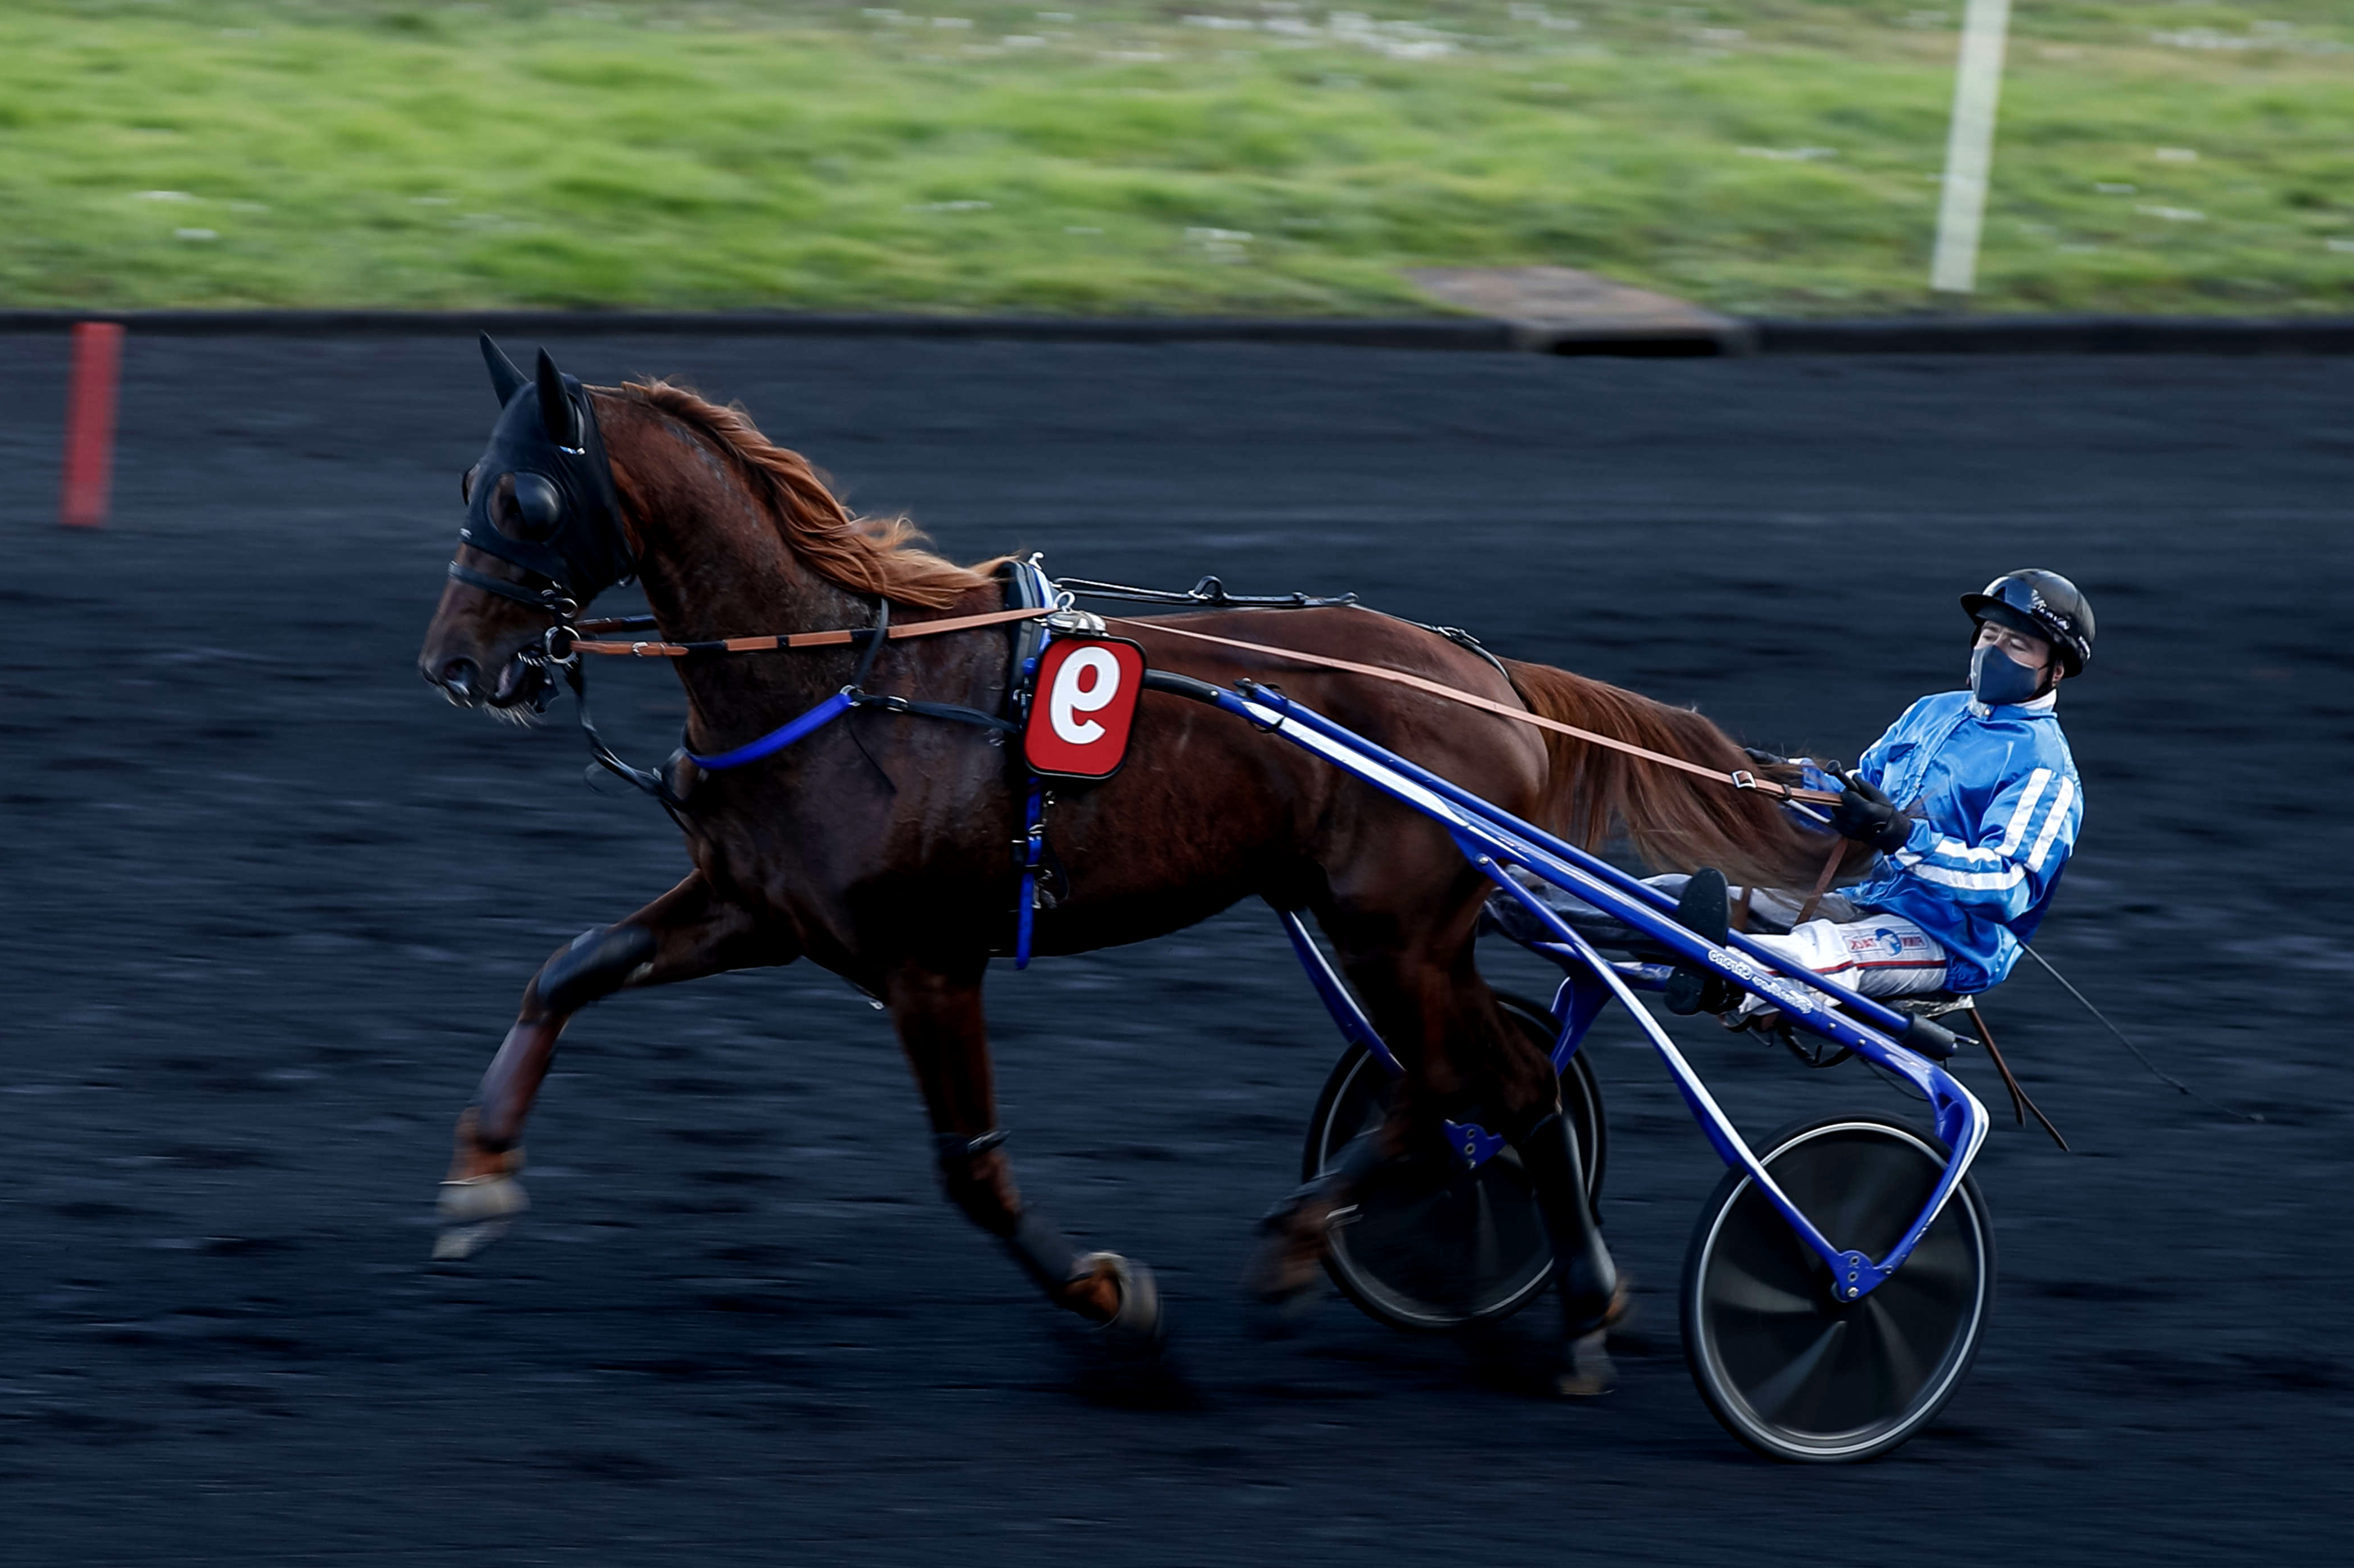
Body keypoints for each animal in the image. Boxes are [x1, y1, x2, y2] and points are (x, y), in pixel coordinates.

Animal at [424, 339, 1855, 1356]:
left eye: (529, 495)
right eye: (463, 483)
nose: (455, 664)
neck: (845, 678)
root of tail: (1489, 677)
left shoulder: (928, 963)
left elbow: (971, 1167)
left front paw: (1104, 1293)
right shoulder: (759, 908)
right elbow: (567, 967)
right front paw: (478, 1175)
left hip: (1392, 927)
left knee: (1493, 1084)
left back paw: (1566, 1293)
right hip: (1396, 930)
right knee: (1464, 1082)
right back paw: (1382, 1251)